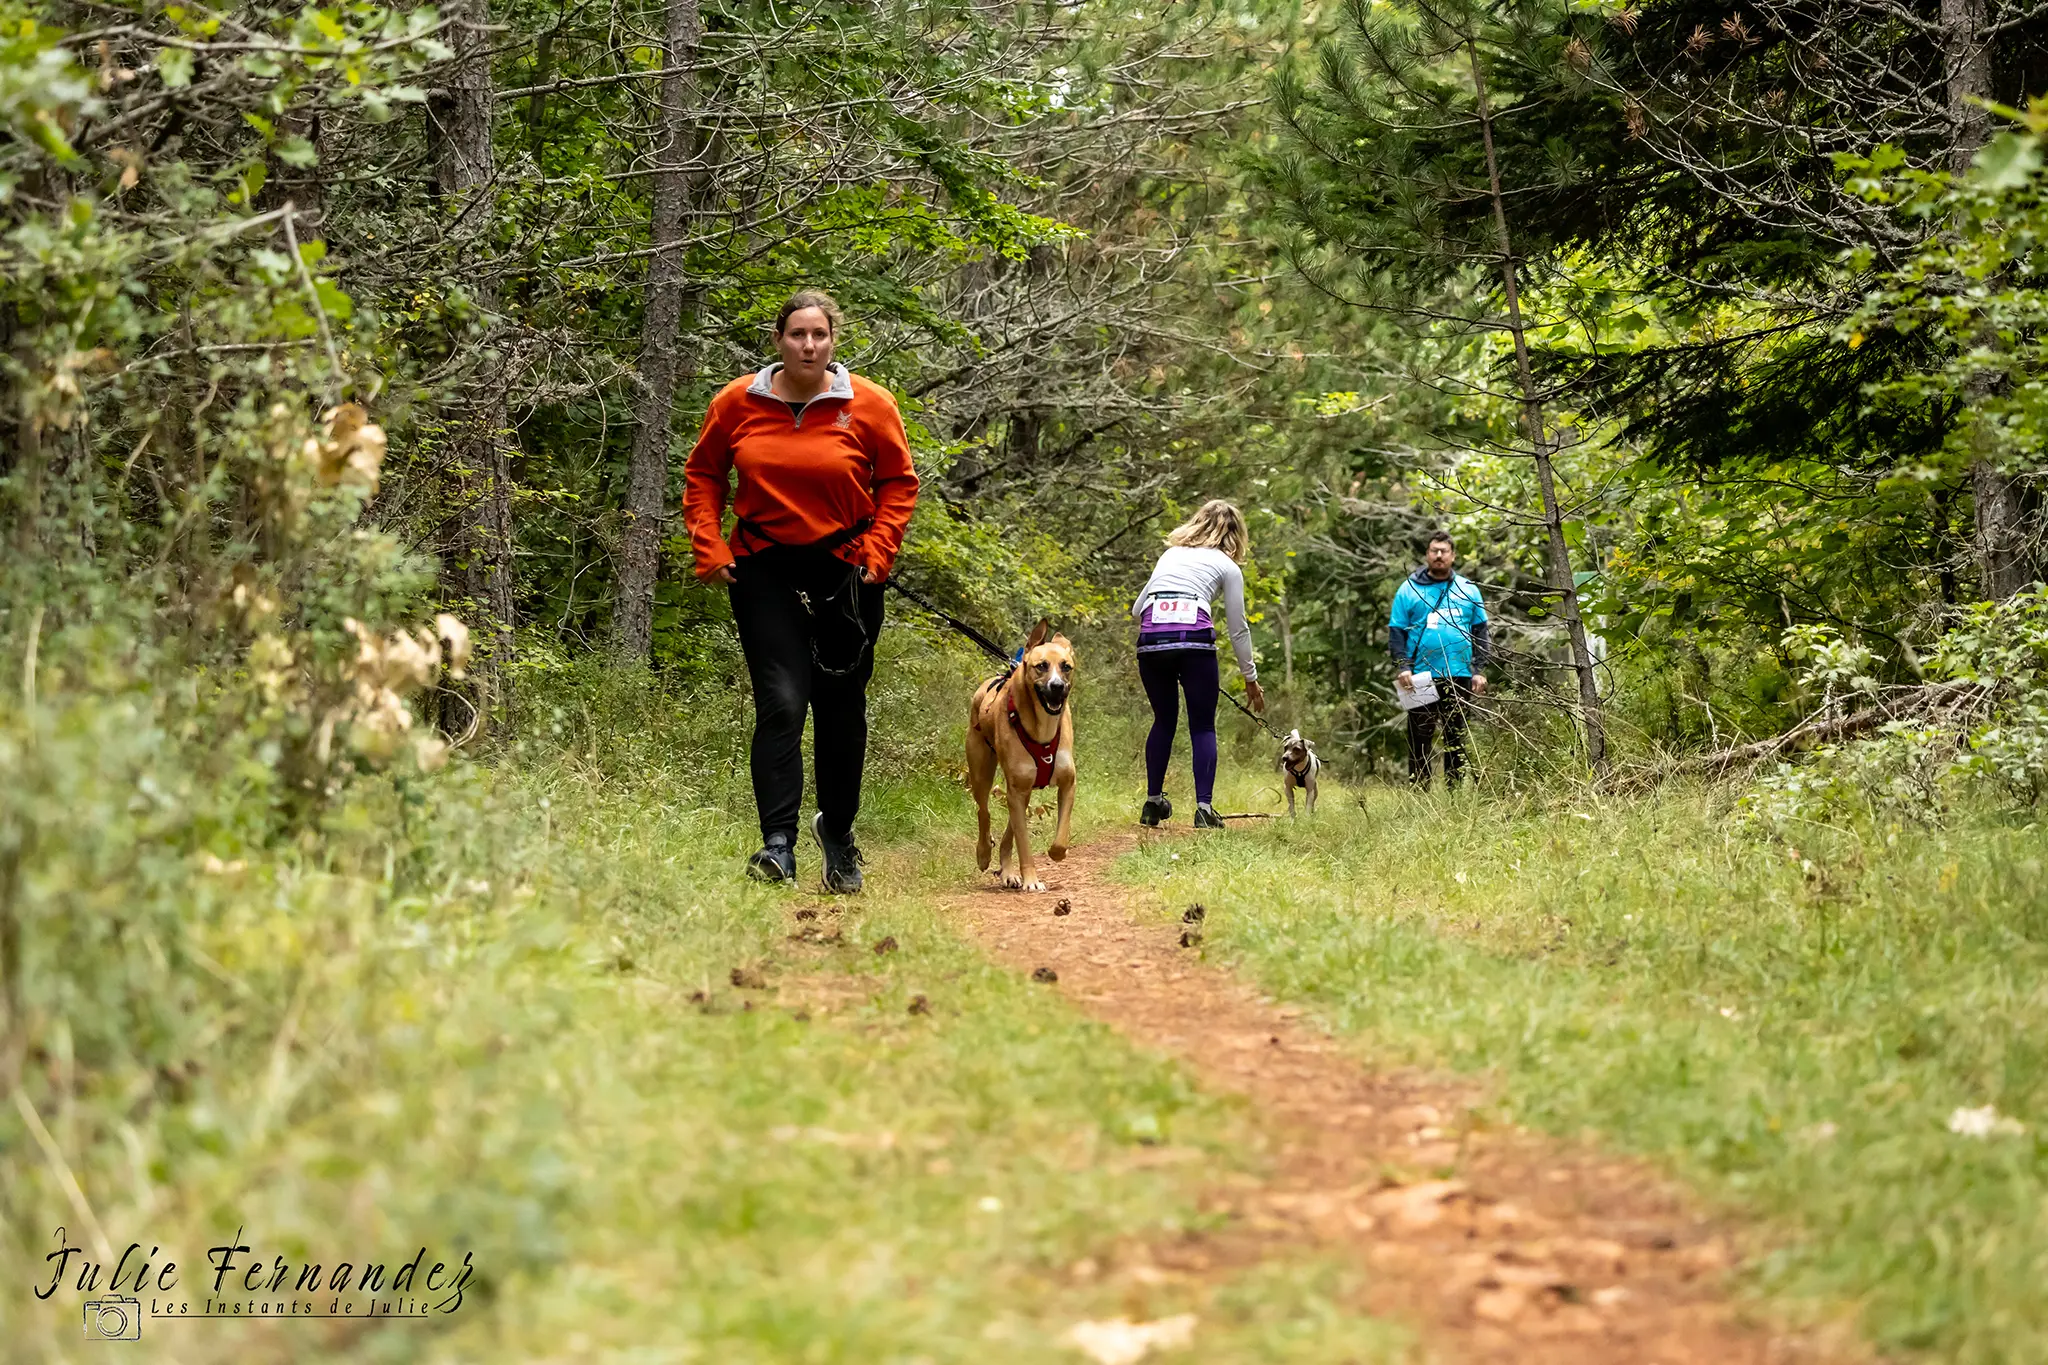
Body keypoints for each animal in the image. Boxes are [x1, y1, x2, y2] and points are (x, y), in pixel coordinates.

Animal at [966, 622, 1081, 896]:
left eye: (1066, 666)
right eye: (1042, 666)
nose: (1057, 686)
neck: (1043, 729)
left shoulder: (1067, 784)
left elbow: (1060, 837)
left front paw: (1056, 853)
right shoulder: (1015, 791)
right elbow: (1024, 845)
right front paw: (1031, 879)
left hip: (1023, 790)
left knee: (1008, 834)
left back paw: (1008, 872)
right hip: (982, 772)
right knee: (983, 811)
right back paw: (984, 853)